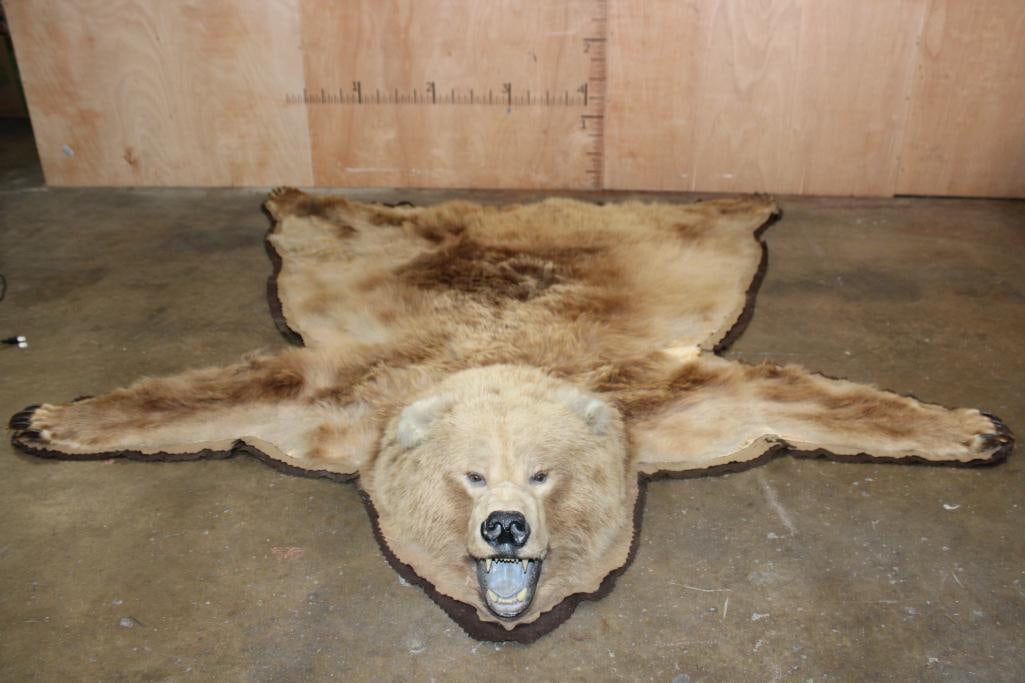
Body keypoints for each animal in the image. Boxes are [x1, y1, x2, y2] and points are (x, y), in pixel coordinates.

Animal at [9, 188, 1013, 640]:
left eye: (542, 473)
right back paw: (295, 195)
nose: (503, 526)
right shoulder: (339, 401)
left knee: (703, 216)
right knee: (340, 215)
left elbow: (794, 392)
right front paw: (50, 418)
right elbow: (216, 390)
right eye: (469, 475)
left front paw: (970, 428)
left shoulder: (668, 400)